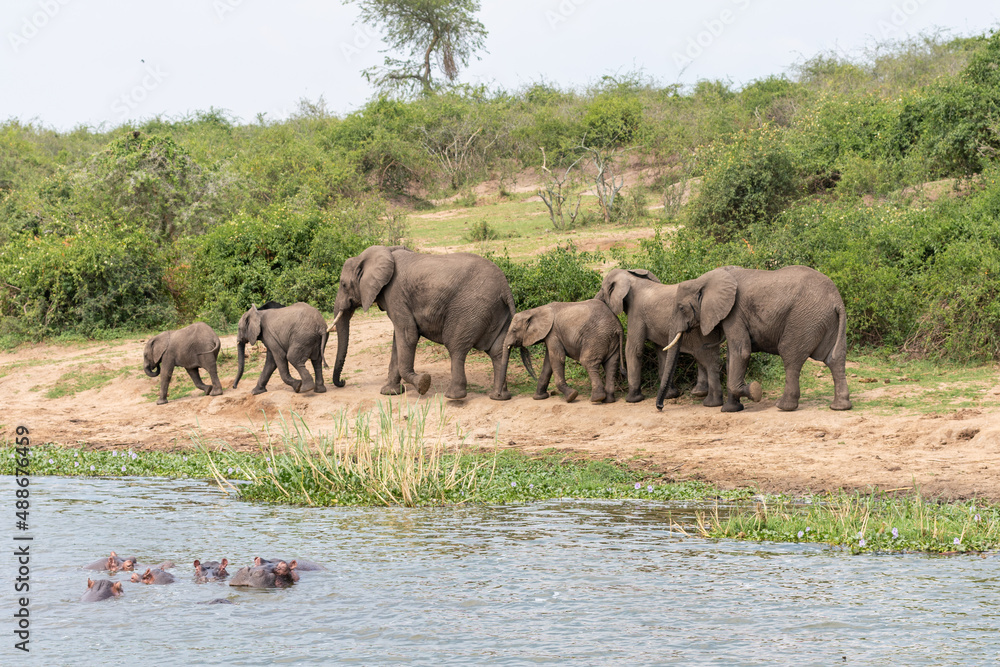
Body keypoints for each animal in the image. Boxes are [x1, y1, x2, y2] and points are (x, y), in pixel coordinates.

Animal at [330, 245, 516, 400]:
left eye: (343, 284)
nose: (343, 382)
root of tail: (505, 288)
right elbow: (398, 341)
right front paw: (390, 393)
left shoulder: (395, 294)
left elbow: (408, 335)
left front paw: (423, 383)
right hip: (498, 312)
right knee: (498, 351)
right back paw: (499, 396)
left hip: (470, 308)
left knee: (456, 347)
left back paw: (452, 397)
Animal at [595, 268, 723, 406]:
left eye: (602, 288)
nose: (623, 372)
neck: (632, 277)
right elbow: (662, 351)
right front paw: (670, 396)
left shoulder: (636, 313)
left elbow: (634, 350)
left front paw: (632, 400)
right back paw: (699, 393)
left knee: (703, 355)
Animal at [660, 265, 852, 413]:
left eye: (681, 308)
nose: (661, 407)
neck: (705, 279)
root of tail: (837, 301)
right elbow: (732, 358)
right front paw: (731, 409)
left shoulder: (735, 313)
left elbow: (741, 352)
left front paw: (754, 391)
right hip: (828, 321)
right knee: (834, 359)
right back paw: (840, 407)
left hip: (804, 319)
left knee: (790, 355)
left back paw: (784, 407)